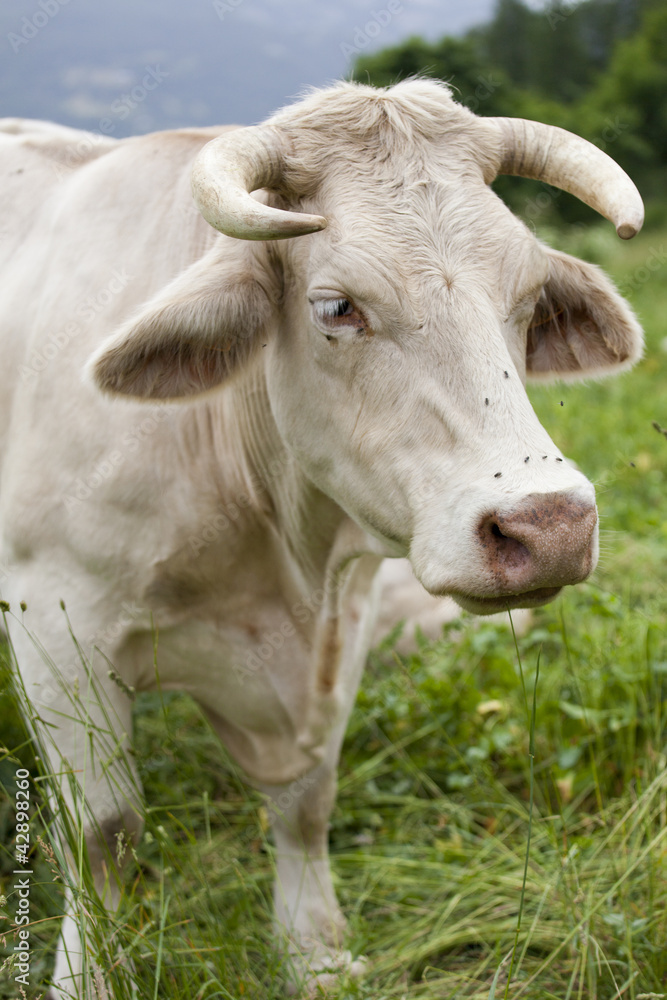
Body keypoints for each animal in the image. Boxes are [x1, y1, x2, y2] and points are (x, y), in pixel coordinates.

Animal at [0, 80, 644, 1000]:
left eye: (525, 300)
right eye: (338, 307)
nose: (548, 524)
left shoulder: (344, 619)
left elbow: (308, 798)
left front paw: (312, 953)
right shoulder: (54, 624)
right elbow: (104, 833)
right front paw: (84, 980)